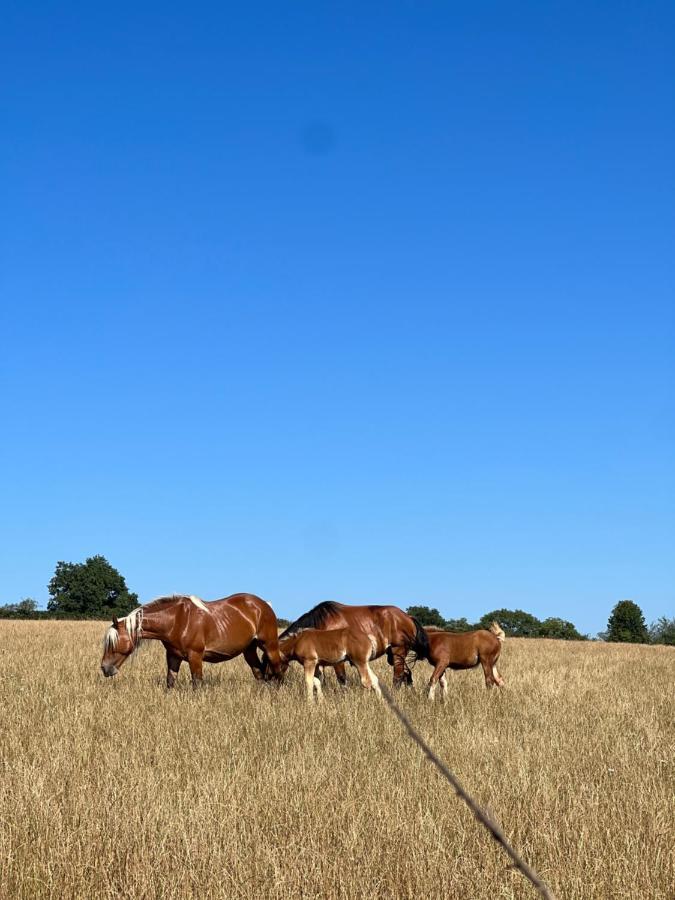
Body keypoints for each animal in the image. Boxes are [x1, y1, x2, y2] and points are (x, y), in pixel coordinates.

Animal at [100, 592, 282, 688]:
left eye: (112, 643)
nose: (104, 668)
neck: (177, 620)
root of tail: (264, 605)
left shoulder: (195, 657)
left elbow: (197, 683)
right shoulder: (173, 656)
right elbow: (170, 681)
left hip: (269, 646)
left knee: (277, 671)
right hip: (249, 650)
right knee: (259, 674)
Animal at [276, 600, 430, 684]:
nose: (272, 684)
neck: (321, 623)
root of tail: (408, 617)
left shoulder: (337, 661)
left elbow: (342, 679)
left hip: (398, 651)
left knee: (398, 677)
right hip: (393, 655)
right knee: (406, 675)